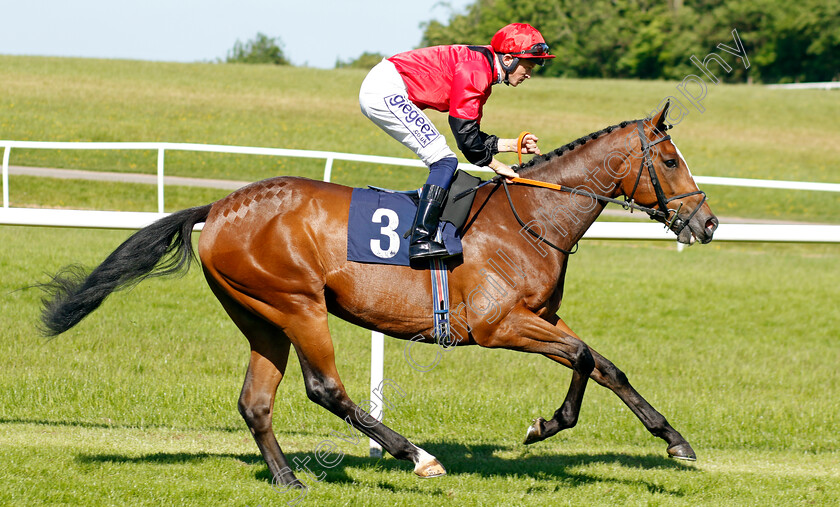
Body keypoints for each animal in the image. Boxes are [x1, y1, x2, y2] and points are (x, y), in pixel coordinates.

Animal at [39, 103, 720, 488]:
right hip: (298, 305)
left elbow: (605, 364)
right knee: (325, 388)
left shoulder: (539, 317)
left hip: (259, 316)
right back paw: (414, 455)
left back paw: (288, 480)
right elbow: (582, 358)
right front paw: (546, 425)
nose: (707, 223)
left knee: (255, 402)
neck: (531, 218)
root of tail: (223, 206)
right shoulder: (500, 325)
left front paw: (674, 440)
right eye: (670, 160)